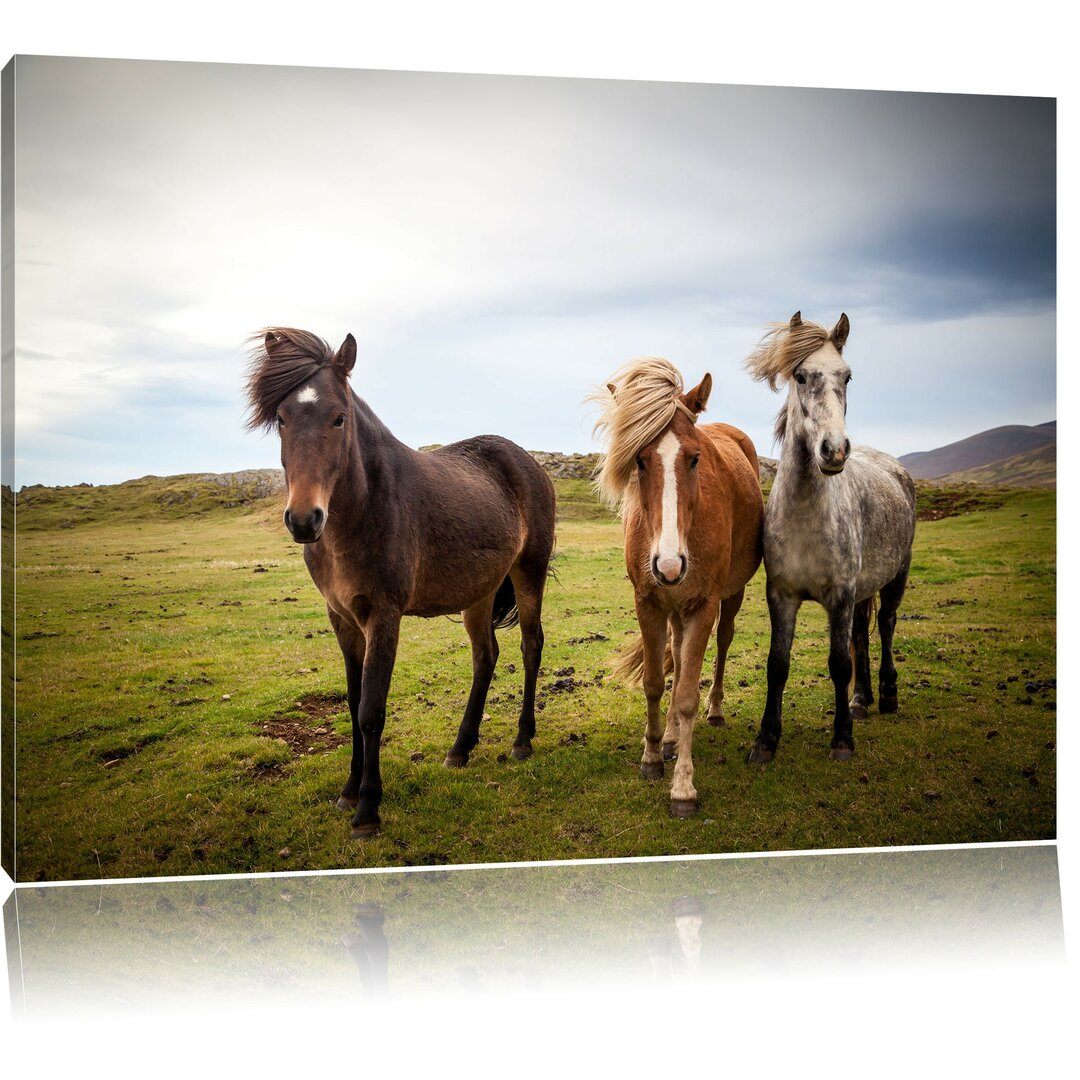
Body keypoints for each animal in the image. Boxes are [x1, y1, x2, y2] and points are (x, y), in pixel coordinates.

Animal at [246, 328, 557, 842]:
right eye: (282, 419)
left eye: (339, 417)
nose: (304, 519)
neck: (363, 511)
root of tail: (524, 460)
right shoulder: (342, 618)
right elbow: (353, 704)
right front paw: (348, 792)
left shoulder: (383, 615)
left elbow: (371, 710)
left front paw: (367, 810)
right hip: (479, 592)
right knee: (485, 656)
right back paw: (460, 748)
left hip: (527, 574)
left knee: (531, 646)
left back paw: (522, 740)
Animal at [596, 358, 764, 812]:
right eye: (638, 459)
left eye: (694, 458)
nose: (669, 565)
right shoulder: (649, 604)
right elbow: (656, 684)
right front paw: (653, 754)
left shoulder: (703, 605)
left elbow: (687, 694)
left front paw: (683, 786)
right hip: (673, 609)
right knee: (675, 649)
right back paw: (670, 737)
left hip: (729, 598)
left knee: (722, 644)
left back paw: (715, 710)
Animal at [747, 313, 915, 764]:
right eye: (801, 375)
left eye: (848, 376)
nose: (834, 450)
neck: (806, 515)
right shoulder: (781, 595)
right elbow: (777, 664)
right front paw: (766, 740)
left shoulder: (839, 594)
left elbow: (839, 663)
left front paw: (842, 739)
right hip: (862, 591)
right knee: (861, 632)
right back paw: (860, 700)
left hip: (897, 576)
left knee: (886, 625)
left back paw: (887, 696)